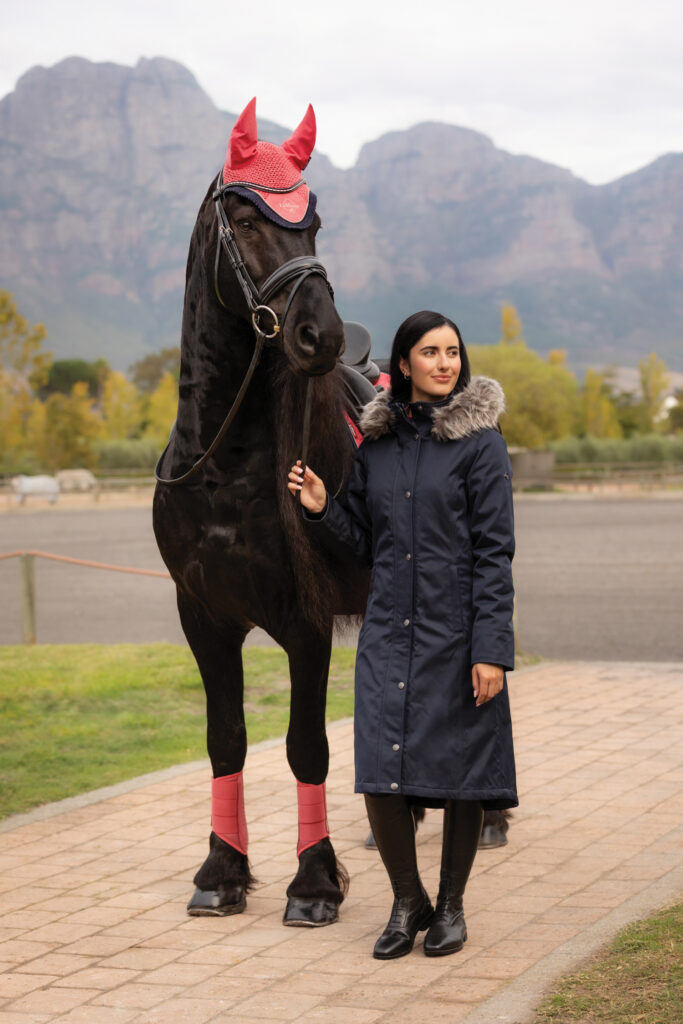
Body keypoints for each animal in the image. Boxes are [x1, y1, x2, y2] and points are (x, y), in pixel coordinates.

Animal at [152, 99, 371, 926]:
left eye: (311, 223)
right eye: (245, 219)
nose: (320, 334)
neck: (222, 467)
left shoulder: (305, 621)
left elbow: (306, 746)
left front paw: (313, 883)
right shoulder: (202, 616)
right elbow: (226, 739)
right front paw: (221, 871)